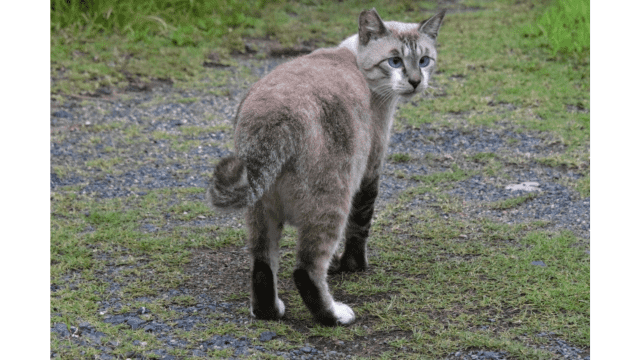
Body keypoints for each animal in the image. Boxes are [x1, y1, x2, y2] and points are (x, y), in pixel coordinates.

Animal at [206, 8, 444, 324]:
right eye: (394, 62)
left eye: (424, 60)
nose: (416, 82)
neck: (353, 57)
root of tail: (272, 116)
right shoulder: (370, 170)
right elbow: (361, 225)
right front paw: (354, 267)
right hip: (331, 202)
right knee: (306, 270)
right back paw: (336, 316)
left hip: (261, 209)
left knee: (262, 266)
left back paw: (271, 312)